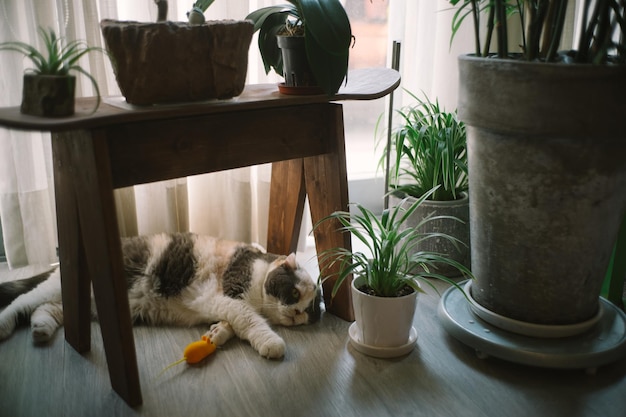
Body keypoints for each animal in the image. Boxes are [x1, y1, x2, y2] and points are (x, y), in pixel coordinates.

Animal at [0, 232, 320, 360]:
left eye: (309, 311)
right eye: (294, 293)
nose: (297, 314)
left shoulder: (223, 305)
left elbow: (232, 323)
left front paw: (216, 335)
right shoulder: (222, 297)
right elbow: (248, 318)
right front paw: (271, 342)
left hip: (78, 302)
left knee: (48, 309)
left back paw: (40, 329)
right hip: (55, 288)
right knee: (21, 302)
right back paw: (5, 325)